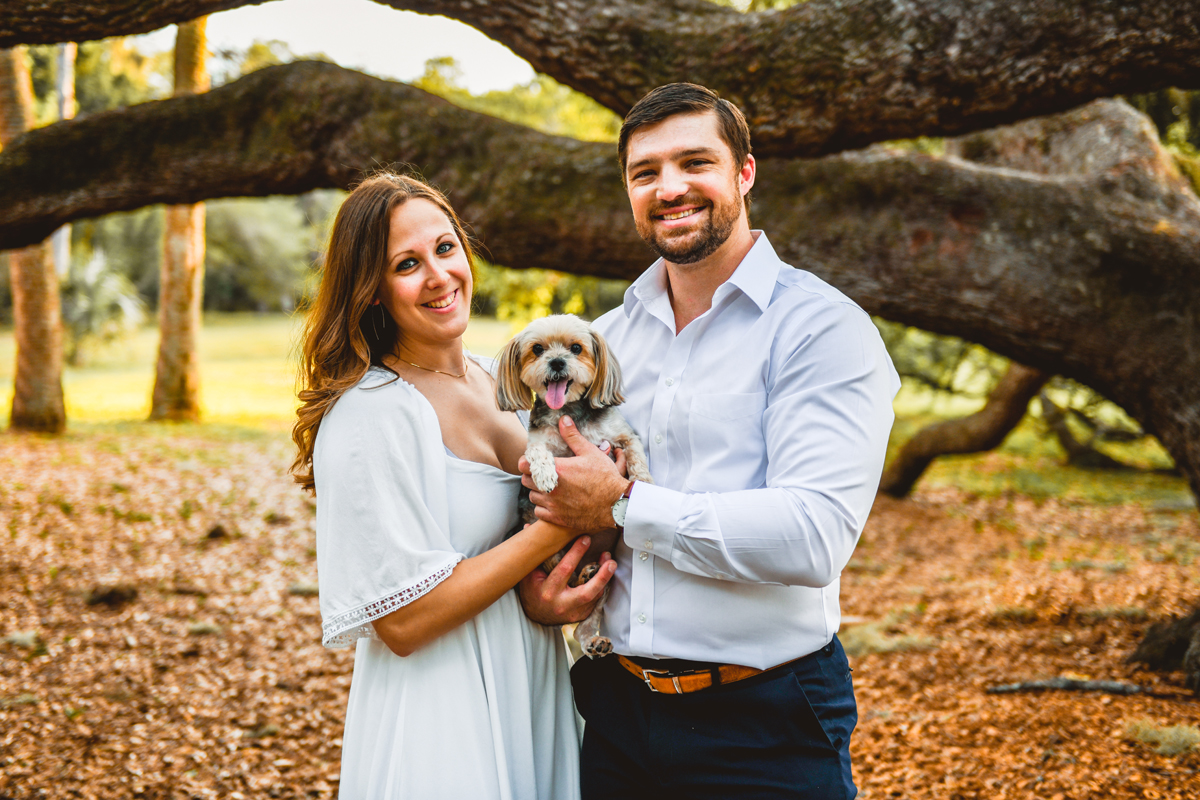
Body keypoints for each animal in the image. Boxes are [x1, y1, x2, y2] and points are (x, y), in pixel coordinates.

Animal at [494, 311, 652, 657]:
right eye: (538, 349)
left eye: (576, 348)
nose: (556, 362)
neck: (567, 410)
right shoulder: (537, 442)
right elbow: (537, 453)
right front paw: (545, 474)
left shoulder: (621, 434)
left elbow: (636, 453)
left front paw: (643, 481)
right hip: (548, 550)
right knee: (566, 580)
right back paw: (583, 577)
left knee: (587, 617)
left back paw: (594, 636)